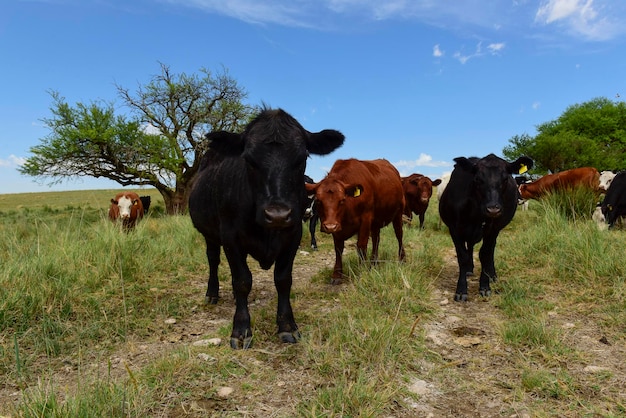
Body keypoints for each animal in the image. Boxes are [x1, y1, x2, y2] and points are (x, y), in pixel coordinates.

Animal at [188, 108, 344, 350]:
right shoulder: (231, 239)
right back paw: (212, 294)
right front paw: (241, 330)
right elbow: (242, 281)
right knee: (213, 260)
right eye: (248, 159)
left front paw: (287, 326)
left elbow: (283, 280)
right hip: (210, 234)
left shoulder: (293, 235)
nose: (277, 215)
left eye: (302, 158)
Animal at [436, 153, 532, 300]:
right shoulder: (454, 228)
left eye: (505, 179)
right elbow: (462, 257)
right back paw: (469, 270)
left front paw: (485, 286)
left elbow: (485, 254)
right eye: (477, 179)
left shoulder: (492, 229)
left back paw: (492, 275)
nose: (493, 209)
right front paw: (461, 290)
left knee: (490, 250)